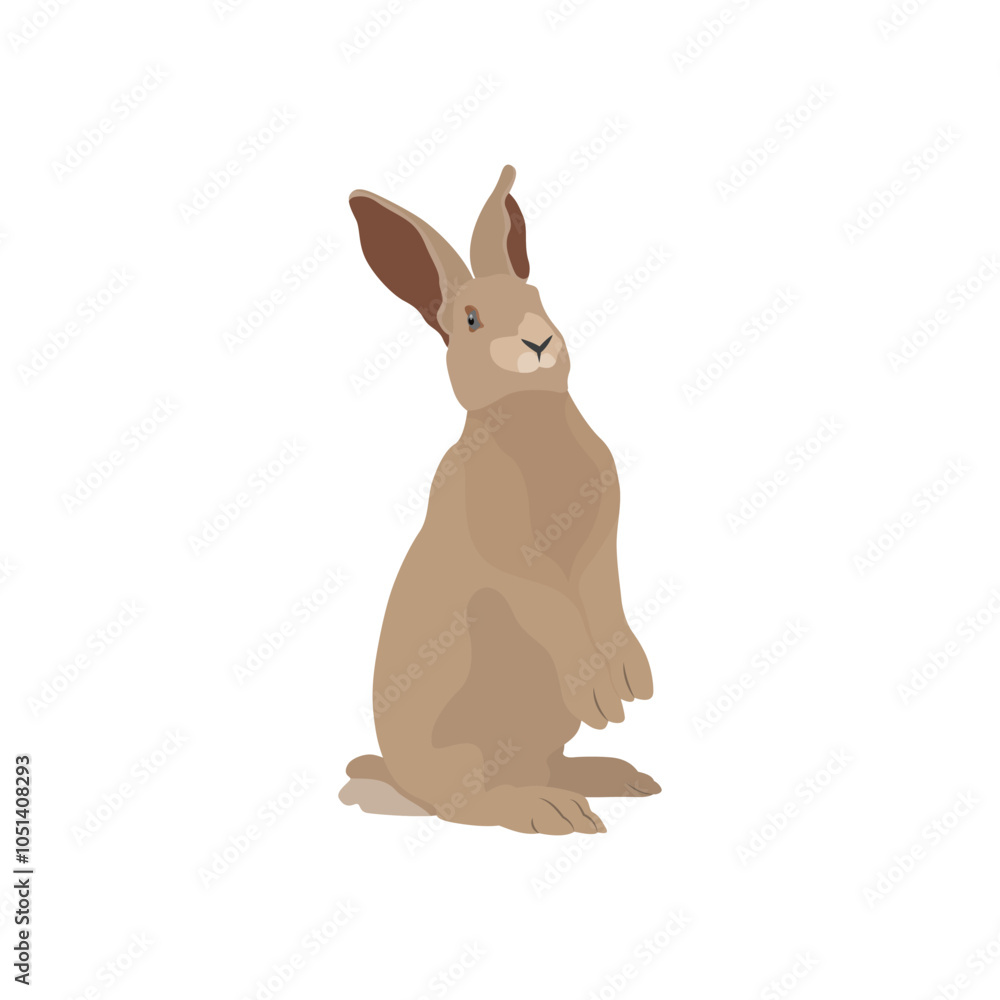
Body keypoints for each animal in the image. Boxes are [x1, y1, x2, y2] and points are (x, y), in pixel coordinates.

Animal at [341, 166, 658, 835]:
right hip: (462, 755)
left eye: (538, 300)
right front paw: (597, 689)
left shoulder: (602, 542)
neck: (531, 421)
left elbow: (603, 592)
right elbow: (552, 605)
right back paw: (550, 810)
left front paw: (630, 676)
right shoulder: (506, 562)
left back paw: (616, 777)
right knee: (466, 803)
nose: (538, 342)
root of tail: (398, 775)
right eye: (470, 320)